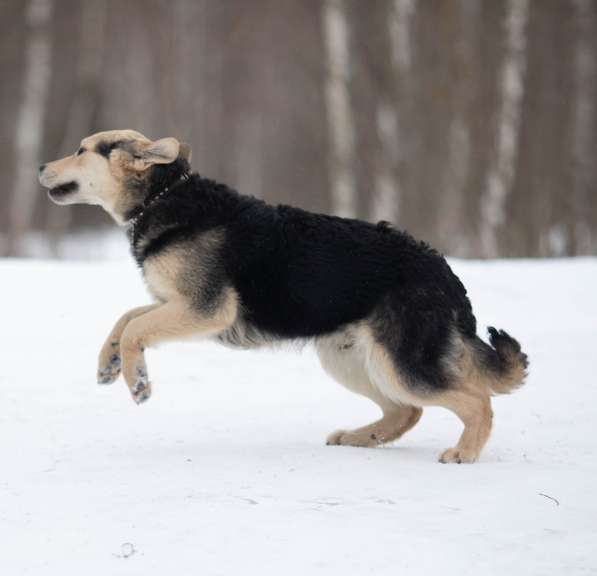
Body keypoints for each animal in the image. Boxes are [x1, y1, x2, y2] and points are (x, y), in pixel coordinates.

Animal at [39, 129, 528, 464]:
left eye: (82, 150)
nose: (41, 166)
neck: (161, 197)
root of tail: (445, 274)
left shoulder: (205, 309)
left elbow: (135, 327)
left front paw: (137, 381)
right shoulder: (176, 304)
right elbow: (127, 319)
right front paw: (109, 364)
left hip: (400, 365)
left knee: (476, 402)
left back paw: (464, 452)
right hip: (350, 360)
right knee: (405, 412)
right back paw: (359, 437)